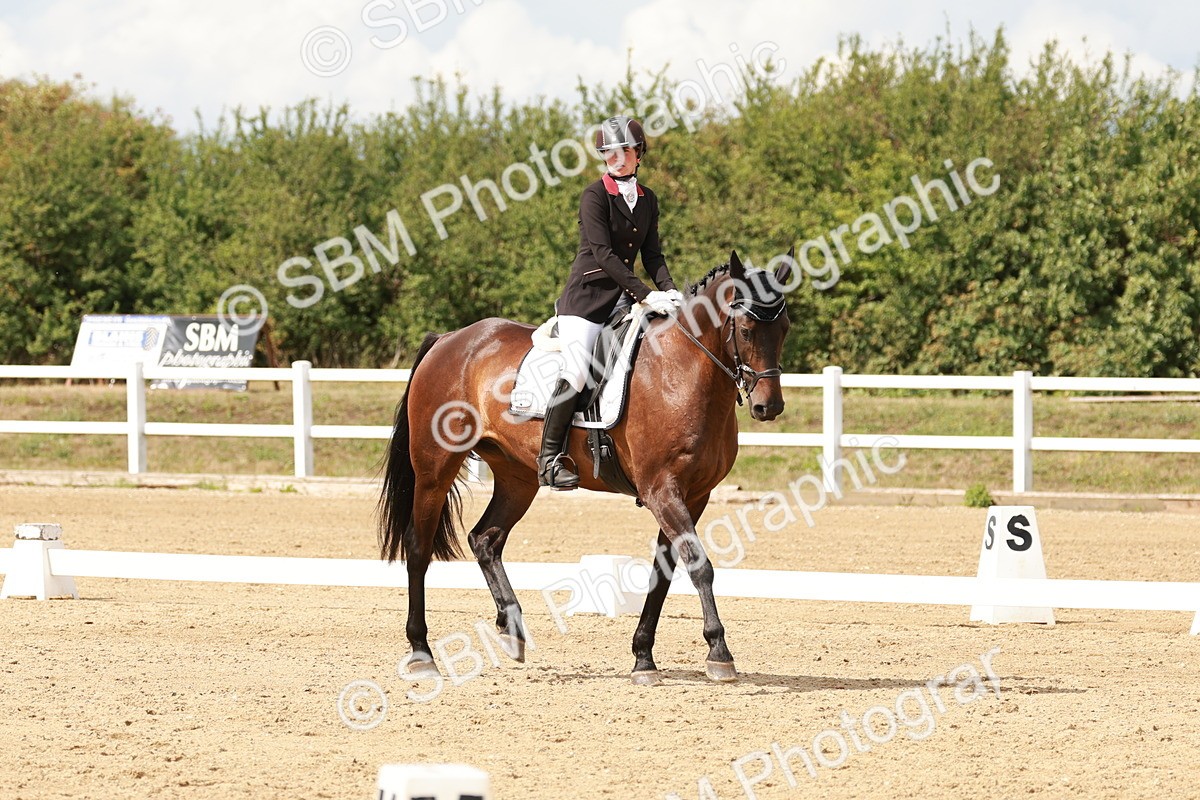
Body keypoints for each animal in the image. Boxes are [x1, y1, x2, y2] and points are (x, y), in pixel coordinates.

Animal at [378, 249, 793, 685]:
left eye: (784, 328)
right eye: (746, 329)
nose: (769, 407)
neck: (682, 372)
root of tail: (448, 340)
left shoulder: (694, 495)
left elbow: (663, 573)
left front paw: (643, 657)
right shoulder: (662, 489)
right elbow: (700, 566)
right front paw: (719, 652)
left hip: (516, 477)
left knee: (486, 539)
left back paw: (512, 631)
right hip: (434, 469)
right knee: (419, 548)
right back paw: (422, 652)